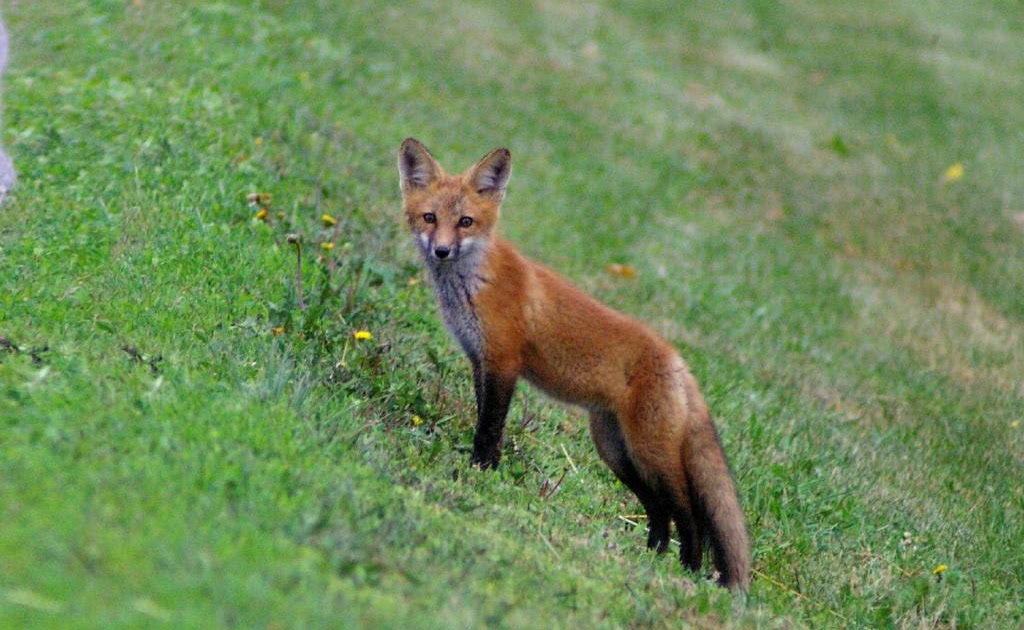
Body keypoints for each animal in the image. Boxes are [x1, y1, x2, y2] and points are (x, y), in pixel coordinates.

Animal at [397, 138, 751, 591]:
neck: (475, 281)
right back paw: (649, 556)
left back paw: (687, 568)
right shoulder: (480, 362)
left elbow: (489, 430)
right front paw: (482, 470)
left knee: (688, 513)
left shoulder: (503, 363)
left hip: (650, 454)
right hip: (615, 451)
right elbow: (483, 422)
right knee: (660, 512)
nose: (441, 250)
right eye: (429, 217)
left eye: (465, 222)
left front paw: (481, 473)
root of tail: (680, 363)